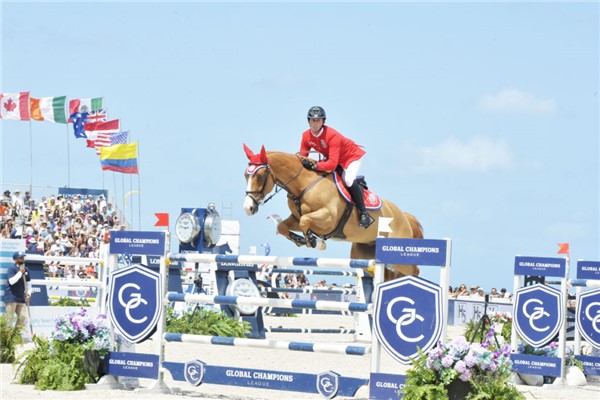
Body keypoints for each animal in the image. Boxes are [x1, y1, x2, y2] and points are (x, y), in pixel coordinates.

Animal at [241, 145, 424, 282]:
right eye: (245, 175)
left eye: (260, 175)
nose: (248, 208)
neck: (304, 184)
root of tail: (404, 216)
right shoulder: (295, 218)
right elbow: (283, 227)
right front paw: (302, 240)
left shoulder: (328, 219)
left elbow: (305, 221)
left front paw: (316, 243)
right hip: (364, 254)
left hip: (399, 254)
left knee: (414, 270)